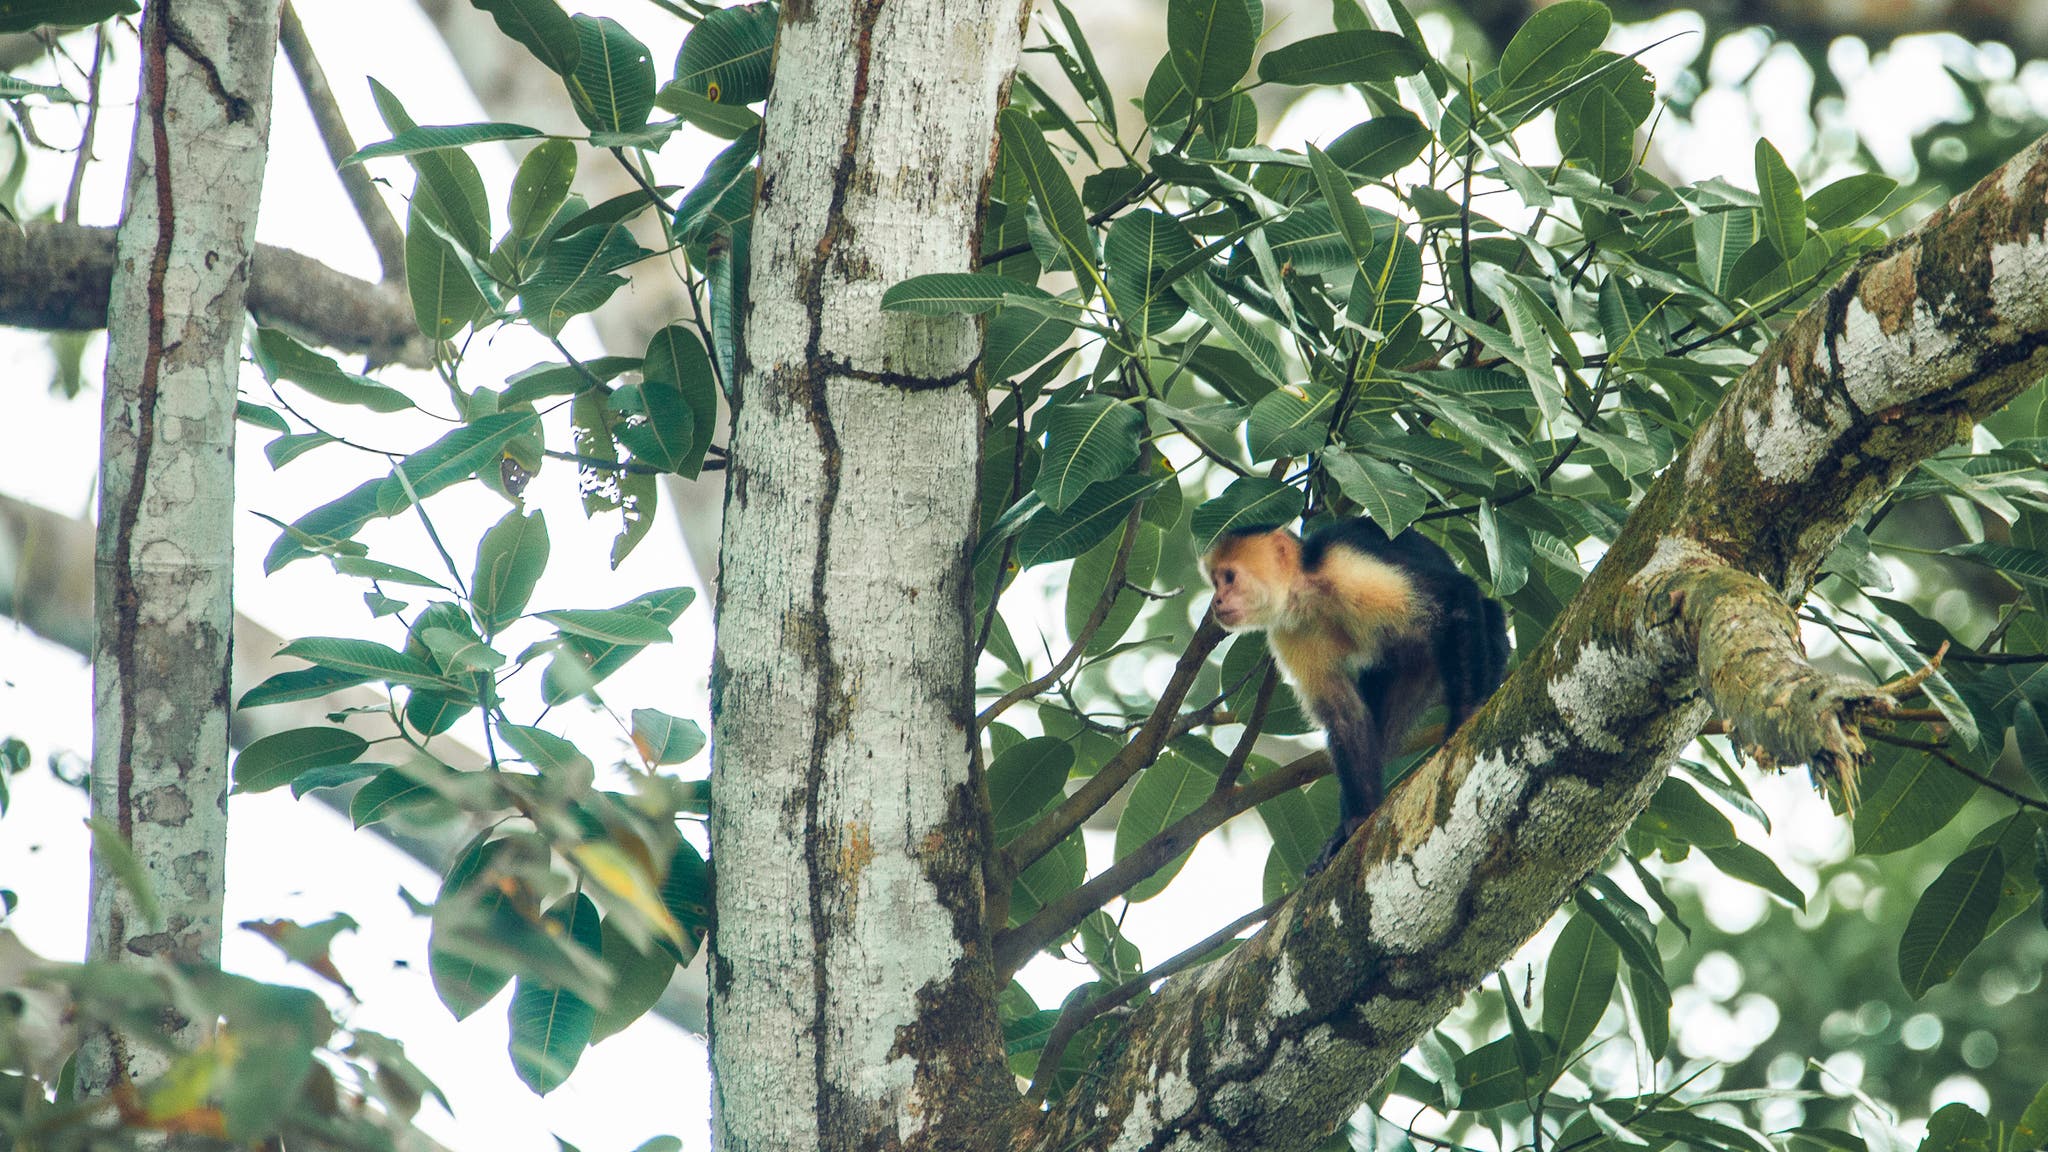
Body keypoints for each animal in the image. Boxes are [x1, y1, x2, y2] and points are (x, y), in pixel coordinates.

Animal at [1202, 516, 1510, 863]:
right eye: (1215, 583)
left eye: (1229, 578)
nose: (1216, 601)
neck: (1307, 593)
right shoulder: (1289, 632)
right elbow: (1344, 716)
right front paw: (1356, 819)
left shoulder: (1346, 567)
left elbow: (1454, 597)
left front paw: (1465, 719)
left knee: (1484, 615)